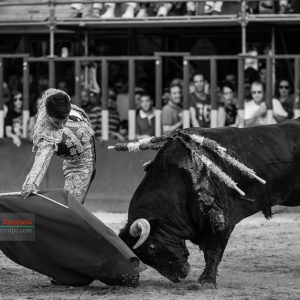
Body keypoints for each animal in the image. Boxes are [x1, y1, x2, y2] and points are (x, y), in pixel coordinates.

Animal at [110, 118, 300, 288]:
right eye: (143, 257)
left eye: (152, 248)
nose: (179, 276)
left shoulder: (221, 223)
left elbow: (214, 252)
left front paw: (207, 281)